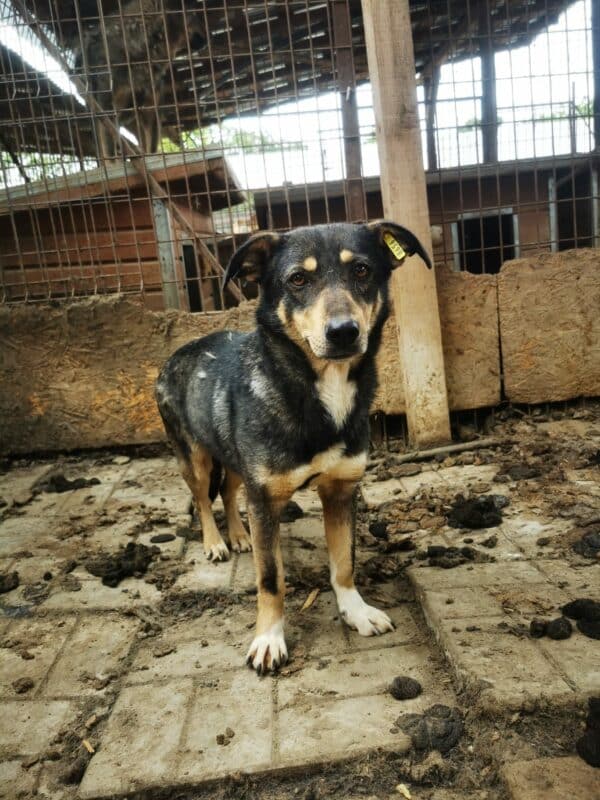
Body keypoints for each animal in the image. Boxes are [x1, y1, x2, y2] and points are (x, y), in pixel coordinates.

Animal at [156, 222, 432, 672]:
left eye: (362, 270)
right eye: (298, 279)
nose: (343, 332)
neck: (320, 390)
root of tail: (176, 353)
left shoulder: (340, 490)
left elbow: (344, 563)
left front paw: (355, 610)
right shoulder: (266, 499)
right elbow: (270, 579)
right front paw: (268, 637)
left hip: (235, 460)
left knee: (228, 491)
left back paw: (240, 536)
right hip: (194, 455)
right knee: (201, 497)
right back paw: (216, 542)